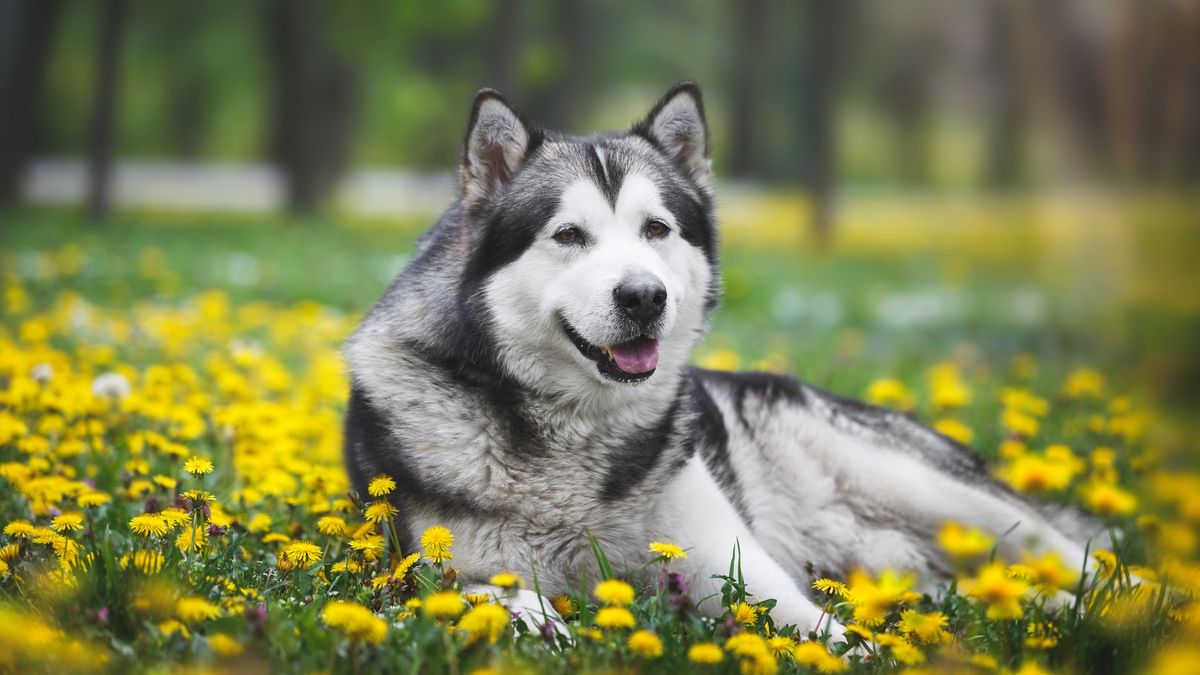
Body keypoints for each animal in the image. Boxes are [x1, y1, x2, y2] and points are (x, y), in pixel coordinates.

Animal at [343, 81, 1094, 634]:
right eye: (569, 235)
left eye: (656, 229)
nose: (644, 296)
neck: (578, 432)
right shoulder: (434, 574)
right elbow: (507, 598)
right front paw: (551, 625)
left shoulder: (731, 566)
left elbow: (821, 630)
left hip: (933, 493)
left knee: (1083, 558)